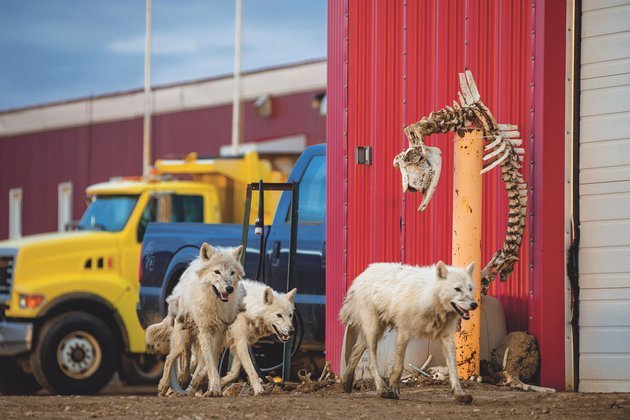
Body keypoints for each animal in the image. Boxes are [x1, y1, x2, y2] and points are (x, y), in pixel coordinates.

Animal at [157, 243, 246, 398]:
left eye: (232, 272)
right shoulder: (204, 331)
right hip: (182, 335)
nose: (229, 288)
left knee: (192, 358)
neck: (214, 304)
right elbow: (209, 363)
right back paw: (169, 383)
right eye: (217, 272)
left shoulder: (218, 334)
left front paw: (201, 382)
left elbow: (210, 362)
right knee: (176, 356)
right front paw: (214, 388)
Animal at [340, 260, 478, 404]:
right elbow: (399, 366)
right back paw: (381, 390)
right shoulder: (404, 332)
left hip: (377, 331)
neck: (430, 298)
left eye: (470, 288)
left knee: (356, 349)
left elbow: (453, 369)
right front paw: (393, 387)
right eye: (457, 289)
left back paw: (347, 381)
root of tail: (363, 274)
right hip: (373, 330)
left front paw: (459, 394)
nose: (474, 305)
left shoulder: (447, 337)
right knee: (371, 363)